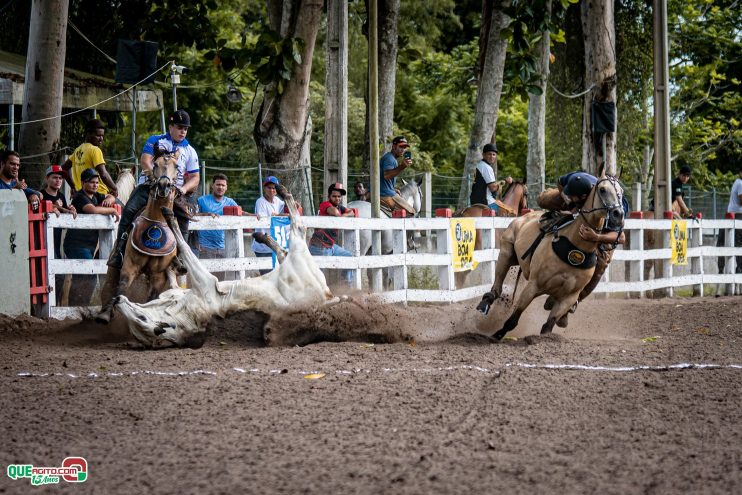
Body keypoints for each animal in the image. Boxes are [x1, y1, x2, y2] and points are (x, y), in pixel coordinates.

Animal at [113, 188, 338, 350]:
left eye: (142, 319)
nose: (117, 300)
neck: (185, 312)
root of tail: (326, 295)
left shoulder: (202, 281)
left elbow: (183, 251)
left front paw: (170, 217)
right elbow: (178, 264)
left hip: (298, 256)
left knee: (295, 230)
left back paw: (272, 215)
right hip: (298, 258)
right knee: (290, 239)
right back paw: (265, 229)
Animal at [480, 175, 624, 340]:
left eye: (621, 191)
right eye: (602, 189)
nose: (618, 214)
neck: (576, 248)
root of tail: (523, 216)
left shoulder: (568, 298)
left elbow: (548, 326)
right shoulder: (533, 286)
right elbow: (513, 319)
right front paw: (497, 335)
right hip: (506, 252)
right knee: (497, 286)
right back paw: (486, 301)